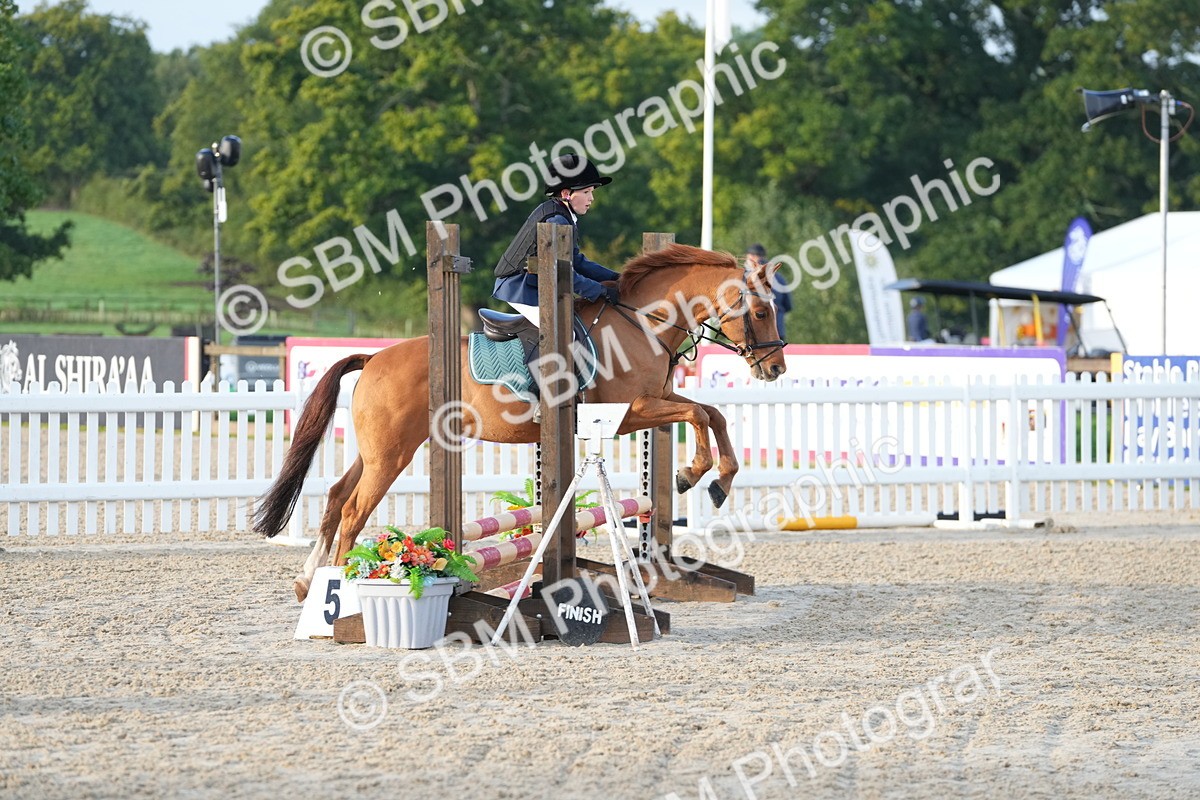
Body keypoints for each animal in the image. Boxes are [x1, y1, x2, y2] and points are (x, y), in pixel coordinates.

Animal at [252, 244, 787, 601]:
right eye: (761, 311)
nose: (777, 368)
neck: (641, 325)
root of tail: (374, 358)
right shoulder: (629, 411)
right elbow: (698, 412)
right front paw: (694, 474)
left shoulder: (655, 399)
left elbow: (712, 413)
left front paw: (714, 479)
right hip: (392, 454)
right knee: (352, 511)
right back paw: (338, 593)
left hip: (378, 450)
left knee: (336, 497)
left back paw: (308, 581)